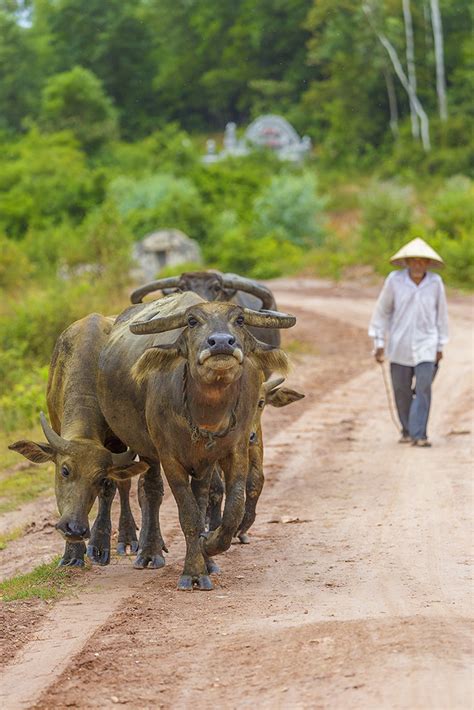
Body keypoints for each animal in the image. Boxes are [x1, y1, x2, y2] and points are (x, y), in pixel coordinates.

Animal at [9, 316, 148, 568]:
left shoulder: (116, 445)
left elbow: (112, 488)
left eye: (99, 478)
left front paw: (98, 545)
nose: (75, 529)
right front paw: (72, 553)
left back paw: (127, 538)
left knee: (124, 485)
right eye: (65, 471)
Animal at [97, 292, 294, 592]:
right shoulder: (170, 459)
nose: (222, 342)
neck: (208, 415)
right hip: (144, 449)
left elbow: (231, 509)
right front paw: (193, 572)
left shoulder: (234, 451)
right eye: (192, 321)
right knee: (149, 490)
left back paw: (206, 559)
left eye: (239, 319)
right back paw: (148, 552)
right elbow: (188, 515)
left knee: (199, 493)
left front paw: (209, 545)